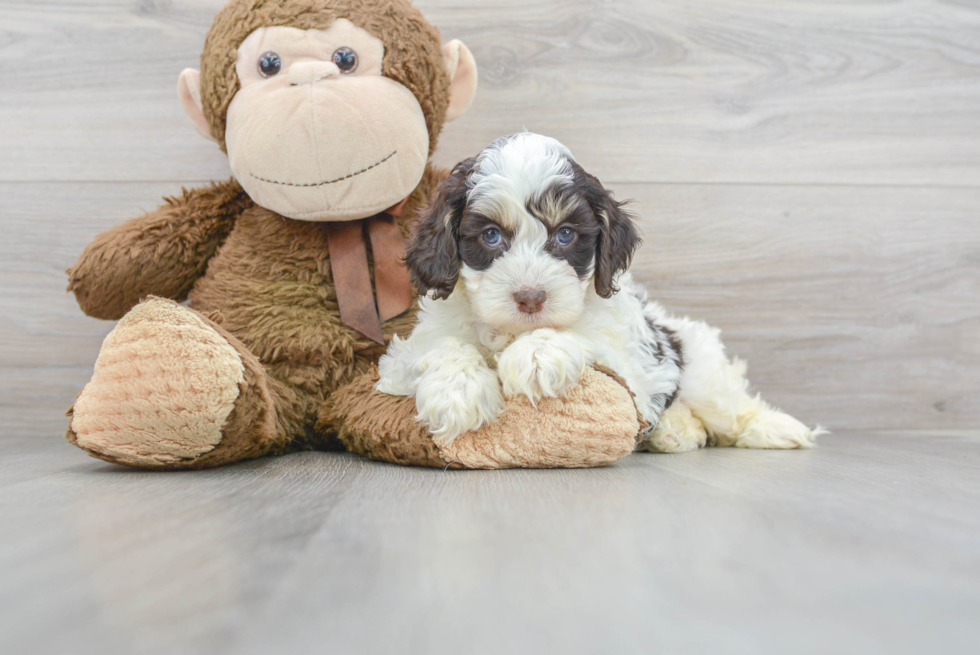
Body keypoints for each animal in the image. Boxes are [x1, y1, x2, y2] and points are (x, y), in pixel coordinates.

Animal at [378, 131, 820, 454]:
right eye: (490, 236)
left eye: (565, 234)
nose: (531, 298)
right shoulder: (401, 358)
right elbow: (441, 346)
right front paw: (458, 391)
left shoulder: (626, 363)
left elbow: (583, 338)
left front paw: (538, 354)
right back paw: (676, 431)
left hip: (699, 368)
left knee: (728, 407)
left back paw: (774, 428)